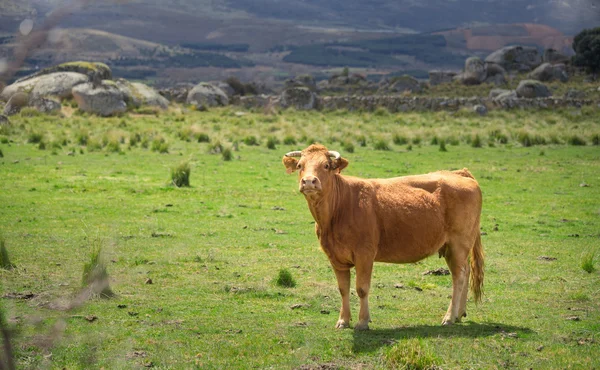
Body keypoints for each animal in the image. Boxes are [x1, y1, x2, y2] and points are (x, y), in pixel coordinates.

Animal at [282, 144, 482, 330]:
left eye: (325, 165)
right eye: (300, 165)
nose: (309, 181)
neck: (337, 211)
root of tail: (459, 173)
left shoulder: (365, 254)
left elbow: (362, 288)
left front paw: (362, 321)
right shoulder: (335, 258)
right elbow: (343, 289)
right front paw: (343, 320)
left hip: (458, 244)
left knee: (459, 277)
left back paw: (449, 317)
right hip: (453, 247)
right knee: (466, 272)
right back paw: (459, 313)